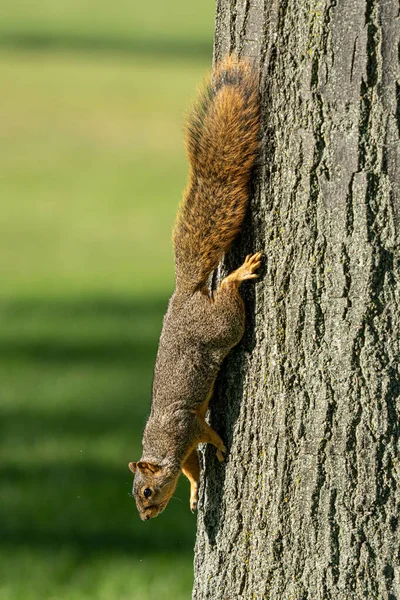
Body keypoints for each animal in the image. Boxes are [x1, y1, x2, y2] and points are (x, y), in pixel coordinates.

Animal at [126, 55, 260, 520]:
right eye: (135, 494)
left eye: (147, 491)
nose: (145, 516)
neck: (163, 446)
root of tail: (184, 295)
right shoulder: (183, 453)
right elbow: (189, 471)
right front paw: (195, 491)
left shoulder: (187, 426)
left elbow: (208, 433)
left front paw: (219, 447)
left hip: (221, 325)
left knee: (229, 308)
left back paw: (238, 274)